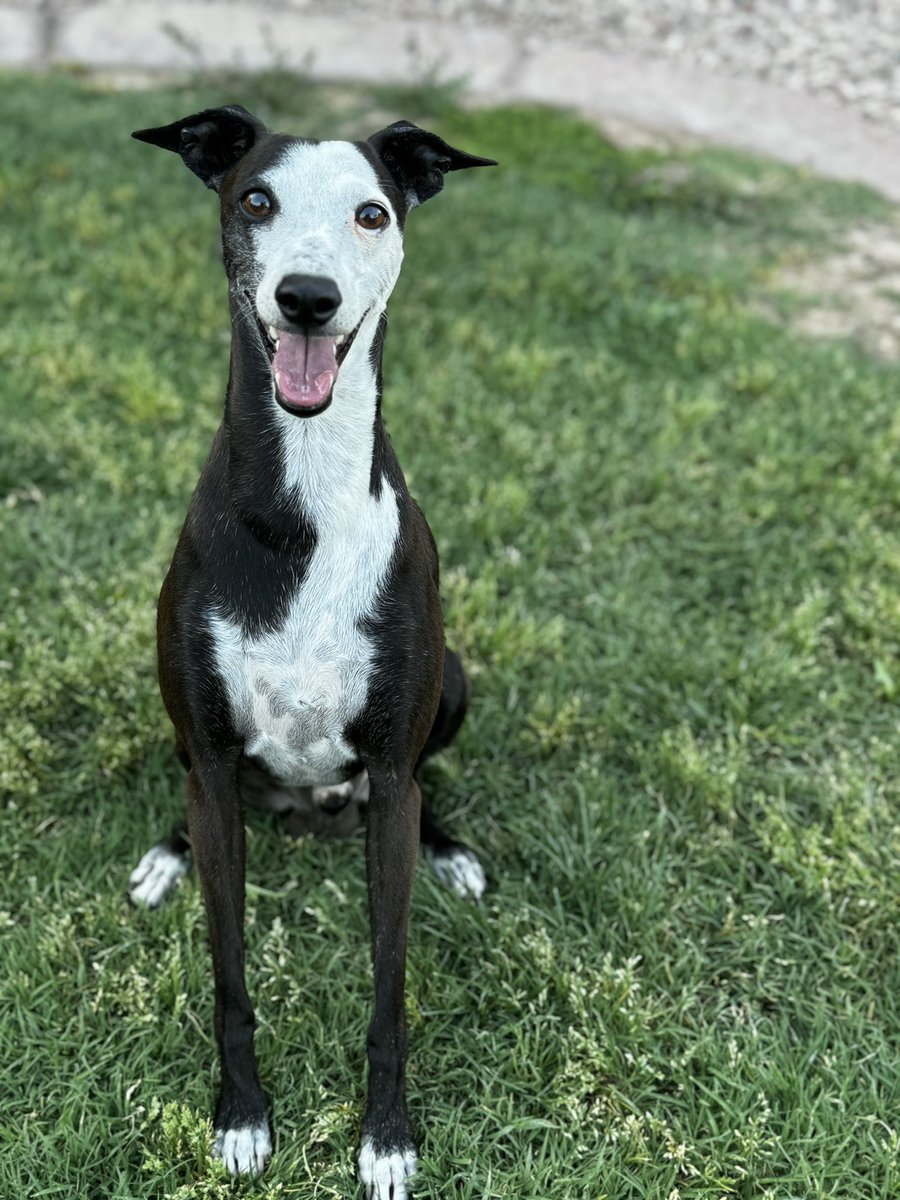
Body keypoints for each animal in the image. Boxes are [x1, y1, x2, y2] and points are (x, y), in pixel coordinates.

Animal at [126, 105, 496, 1200]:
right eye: (256, 199)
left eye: (372, 213)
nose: (308, 297)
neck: (307, 501)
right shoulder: (210, 758)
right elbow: (230, 974)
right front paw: (243, 1118)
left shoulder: (391, 765)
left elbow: (388, 987)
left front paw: (386, 1138)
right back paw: (164, 854)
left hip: (448, 690)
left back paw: (453, 851)